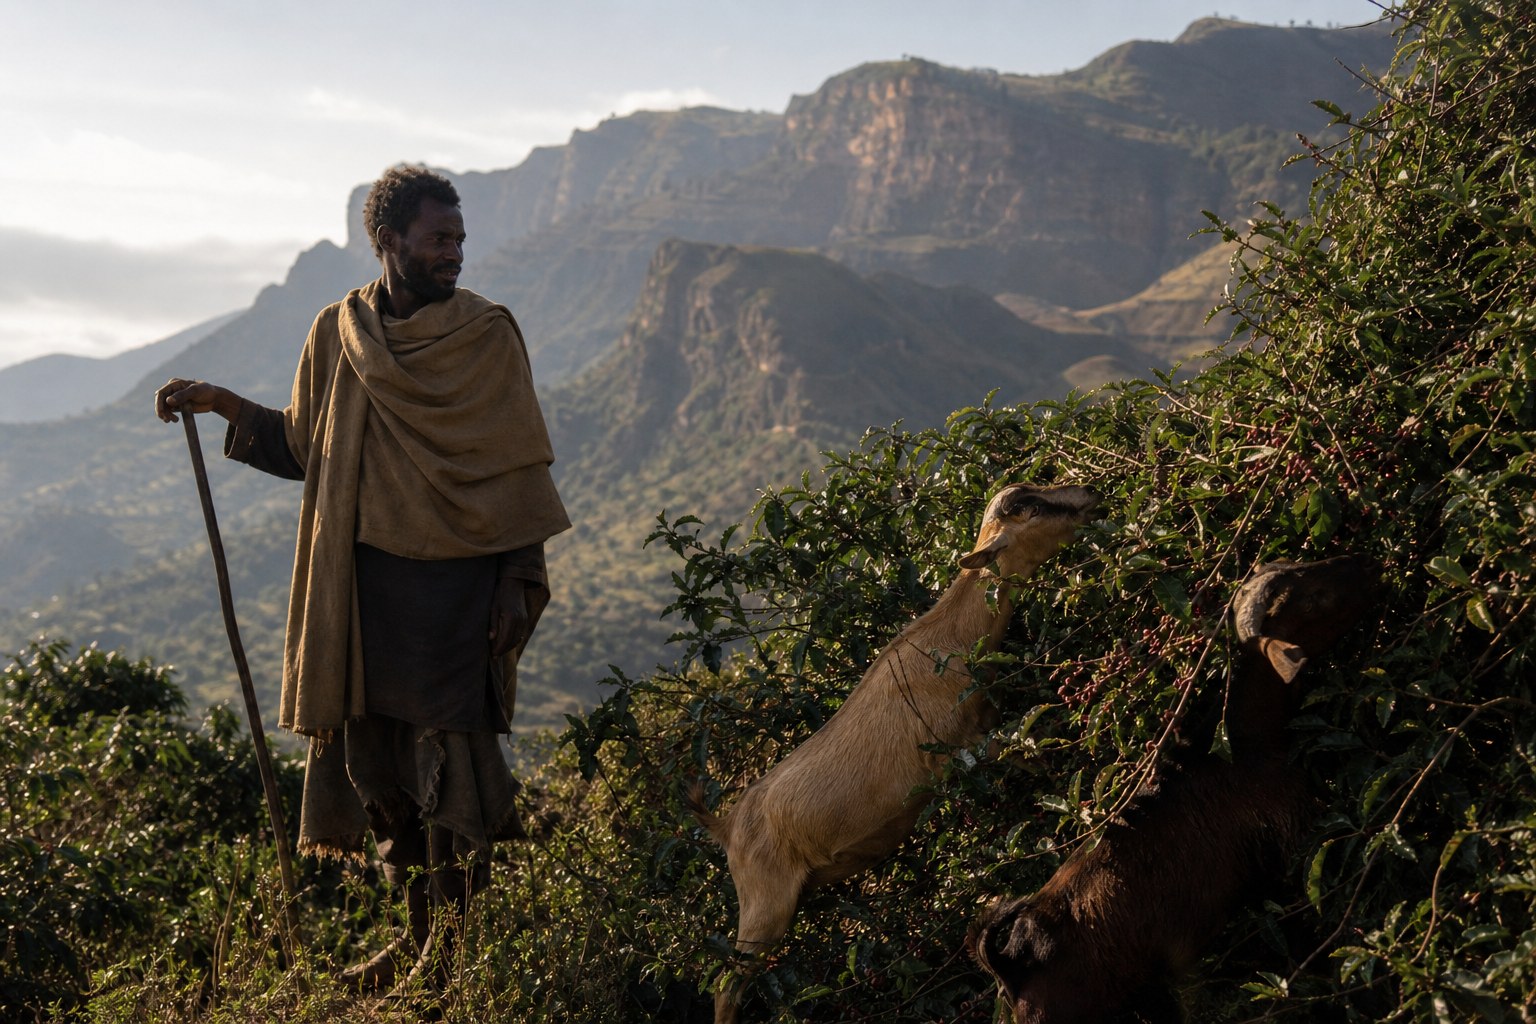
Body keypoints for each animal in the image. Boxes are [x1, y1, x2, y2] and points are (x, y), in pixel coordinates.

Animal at [688, 481, 1103, 1024]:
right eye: (1030, 510)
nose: (1089, 494)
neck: (948, 641)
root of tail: (726, 825)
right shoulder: (956, 749)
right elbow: (1027, 755)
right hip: (764, 903)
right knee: (725, 983)